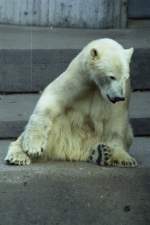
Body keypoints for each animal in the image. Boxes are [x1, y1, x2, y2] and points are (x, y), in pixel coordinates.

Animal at [5, 38, 138, 167]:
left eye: (125, 77)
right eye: (111, 76)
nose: (119, 97)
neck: (96, 86)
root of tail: (74, 151)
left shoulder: (123, 92)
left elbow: (116, 120)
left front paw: (124, 158)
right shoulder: (78, 77)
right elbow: (52, 99)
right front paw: (33, 146)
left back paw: (101, 153)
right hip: (60, 130)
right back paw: (18, 156)